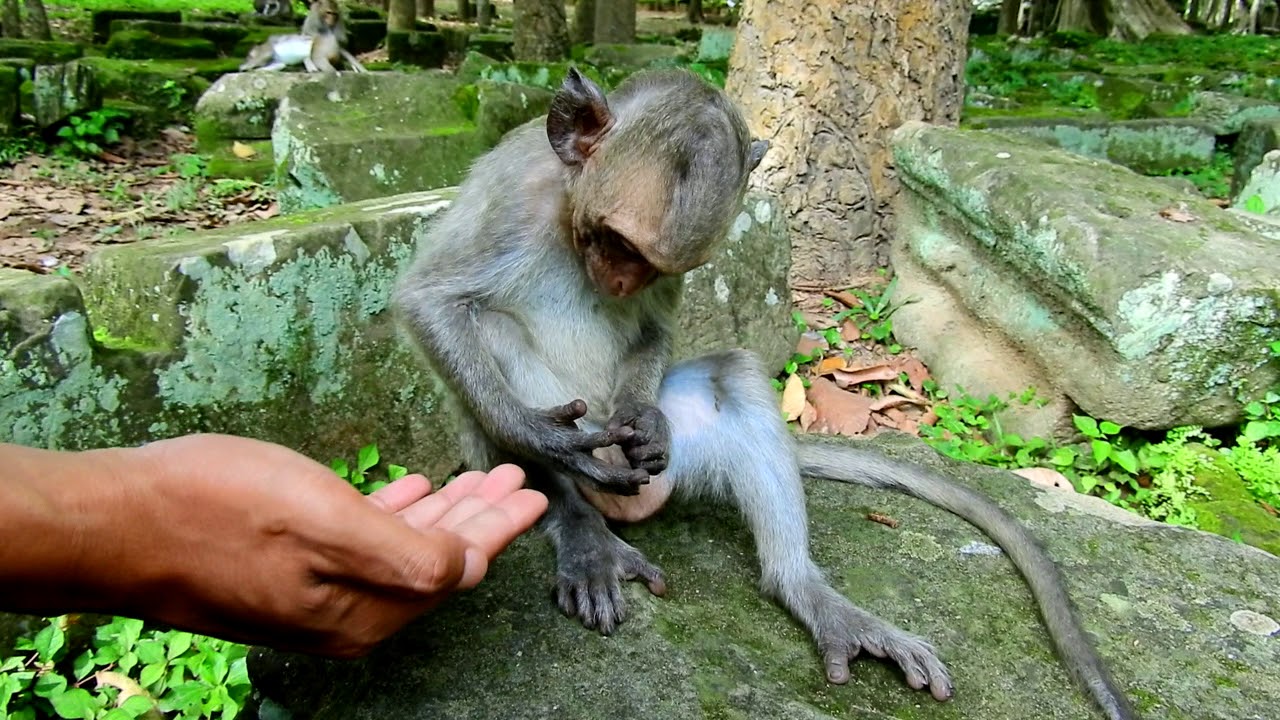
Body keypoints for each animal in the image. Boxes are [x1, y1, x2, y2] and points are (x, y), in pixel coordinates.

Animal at [392, 68, 1137, 720]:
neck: (566, 201)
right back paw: (582, 526)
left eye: (650, 264)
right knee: (489, 331)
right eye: (613, 242)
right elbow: (429, 302)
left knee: (736, 376)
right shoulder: (510, 190)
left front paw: (643, 417)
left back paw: (806, 591)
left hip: (682, 462)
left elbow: (657, 330)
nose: (622, 280)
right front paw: (548, 440)